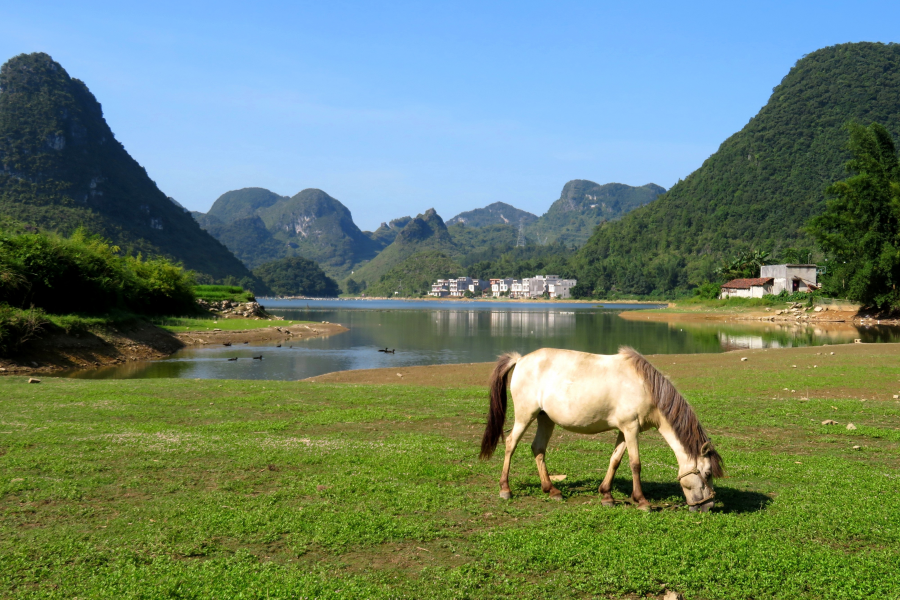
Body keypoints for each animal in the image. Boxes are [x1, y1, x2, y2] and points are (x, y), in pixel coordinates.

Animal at [478, 346, 724, 510]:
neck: (645, 387)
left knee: (538, 448)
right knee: (511, 443)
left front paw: (607, 495)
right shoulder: (630, 428)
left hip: (545, 419)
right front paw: (642, 501)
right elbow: (635, 464)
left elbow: (615, 460)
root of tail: (520, 360)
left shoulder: (625, 430)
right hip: (525, 415)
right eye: (707, 473)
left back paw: (552, 490)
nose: (709, 506)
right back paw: (505, 489)